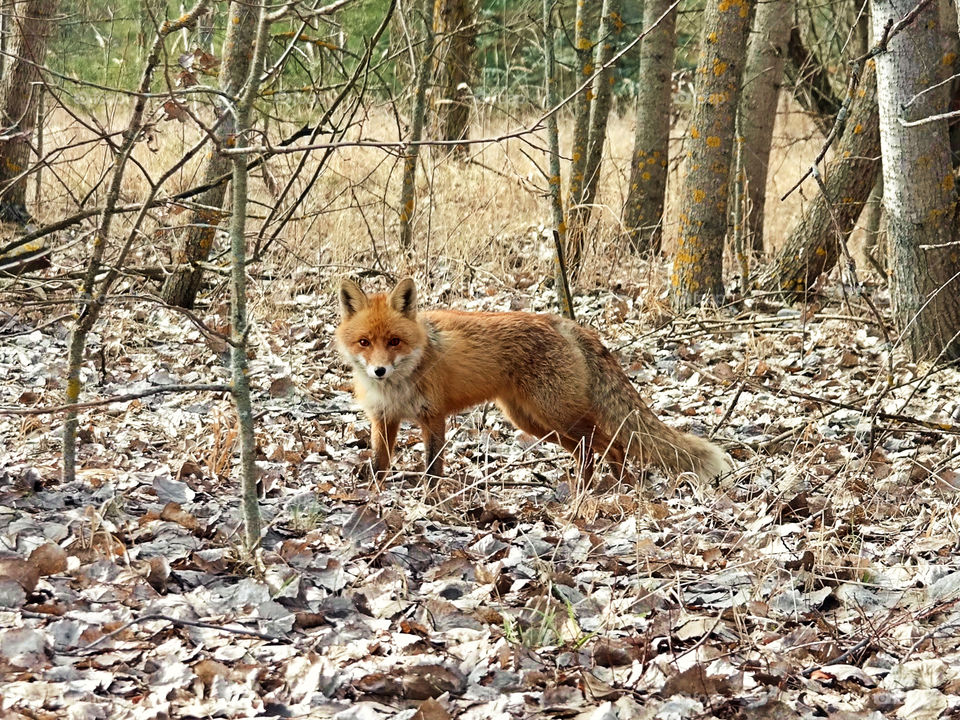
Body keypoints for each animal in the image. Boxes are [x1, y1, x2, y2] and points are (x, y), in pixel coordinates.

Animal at [335, 276, 731, 483]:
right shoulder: (383, 418)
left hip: (558, 415)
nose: (379, 371)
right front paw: (373, 496)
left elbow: (434, 468)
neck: (397, 385)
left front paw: (430, 500)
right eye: (364, 342)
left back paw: (616, 489)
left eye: (394, 342)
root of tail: (564, 322)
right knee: (588, 451)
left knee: (614, 444)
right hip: (536, 422)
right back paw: (588, 491)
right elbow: (379, 464)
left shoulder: (433, 417)